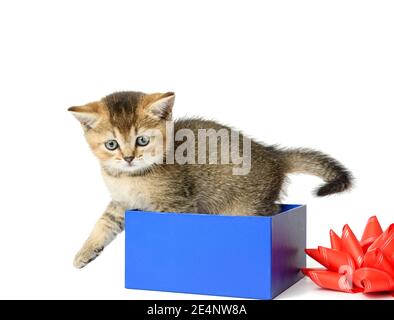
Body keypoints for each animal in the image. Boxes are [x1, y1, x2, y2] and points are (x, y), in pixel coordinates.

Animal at [69, 91, 352, 268]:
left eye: (142, 140)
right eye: (112, 144)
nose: (128, 157)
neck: (129, 177)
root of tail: (272, 155)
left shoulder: (178, 205)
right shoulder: (121, 204)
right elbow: (103, 224)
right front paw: (84, 252)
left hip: (246, 207)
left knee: (273, 212)